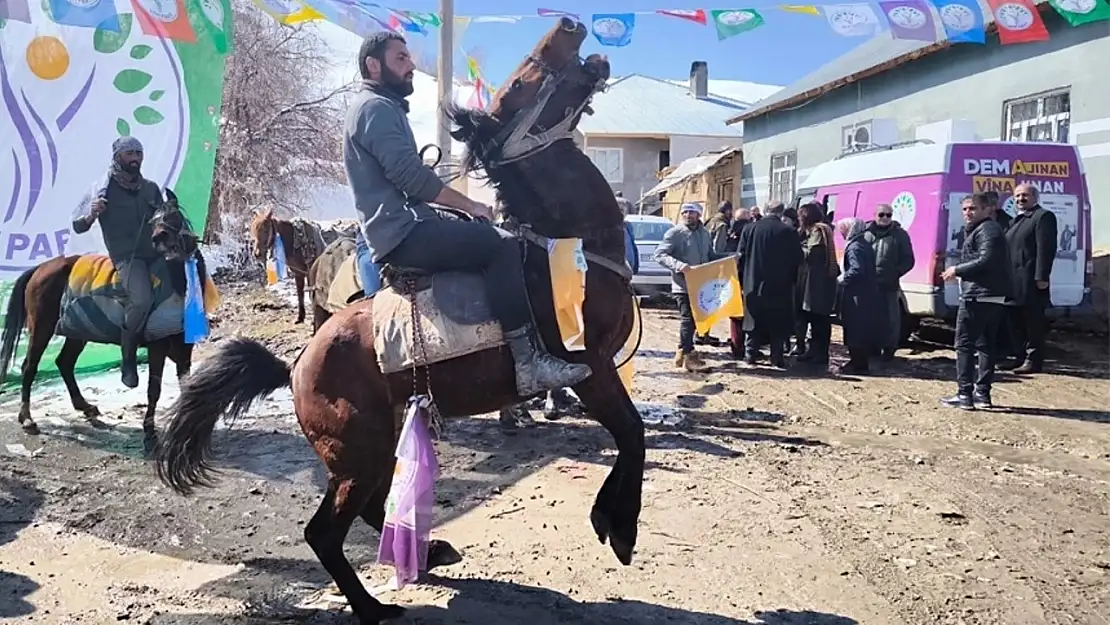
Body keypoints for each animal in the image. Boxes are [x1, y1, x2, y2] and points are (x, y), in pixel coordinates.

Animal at [153, 17, 648, 621]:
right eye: (521, 82)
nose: (571, 25)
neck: (572, 244)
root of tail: (297, 365)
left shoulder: (597, 372)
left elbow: (630, 436)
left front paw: (611, 518)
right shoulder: (592, 369)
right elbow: (633, 434)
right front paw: (618, 526)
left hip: (379, 443)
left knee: (371, 509)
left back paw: (430, 551)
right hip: (356, 455)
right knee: (325, 531)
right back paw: (373, 605)